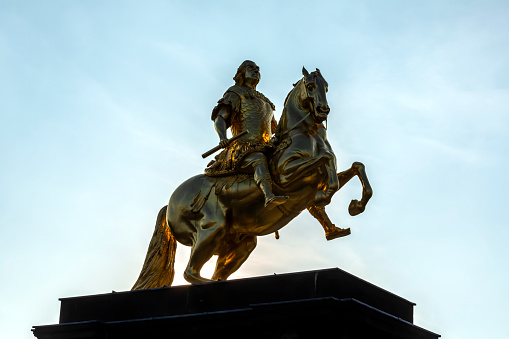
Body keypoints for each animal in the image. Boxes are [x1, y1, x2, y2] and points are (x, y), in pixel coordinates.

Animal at [131, 67, 370, 290]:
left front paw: (355, 206)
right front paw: (326, 195)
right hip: (211, 229)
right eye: (311, 86)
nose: (323, 110)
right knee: (190, 272)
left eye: (326, 86)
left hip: (239, 244)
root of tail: (170, 203)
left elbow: (356, 167)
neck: (306, 134)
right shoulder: (286, 176)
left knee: (215, 271)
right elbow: (325, 160)